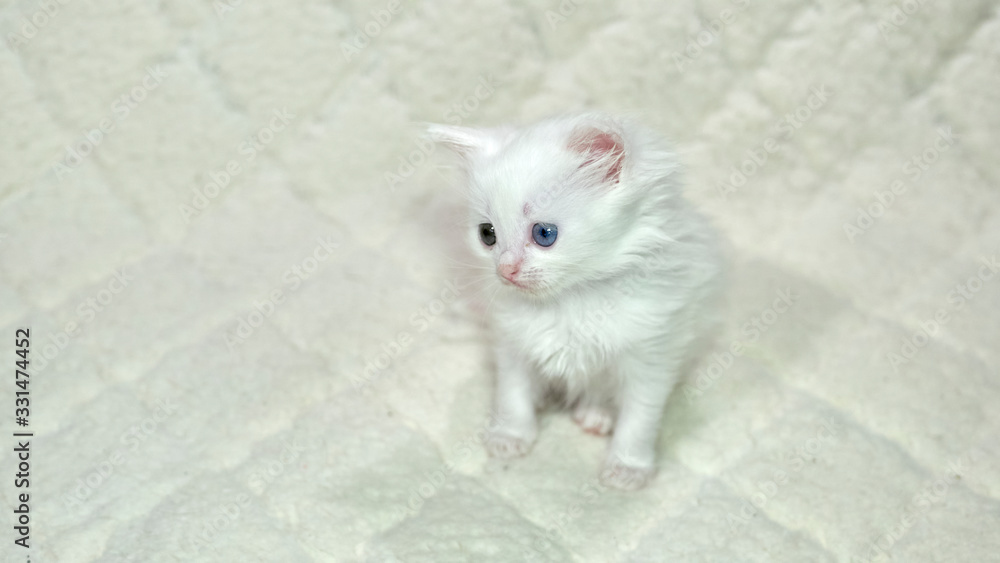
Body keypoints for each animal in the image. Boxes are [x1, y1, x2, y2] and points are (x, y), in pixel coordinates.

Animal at [426, 112, 724, 492]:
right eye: (487, 234)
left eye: (544, 234)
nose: (505, 270)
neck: (570, 299)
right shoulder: (512, 342)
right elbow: (512, 392)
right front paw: (510, 435)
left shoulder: (653, 353)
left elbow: (640, 417)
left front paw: (628, 467)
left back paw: (597, 414)